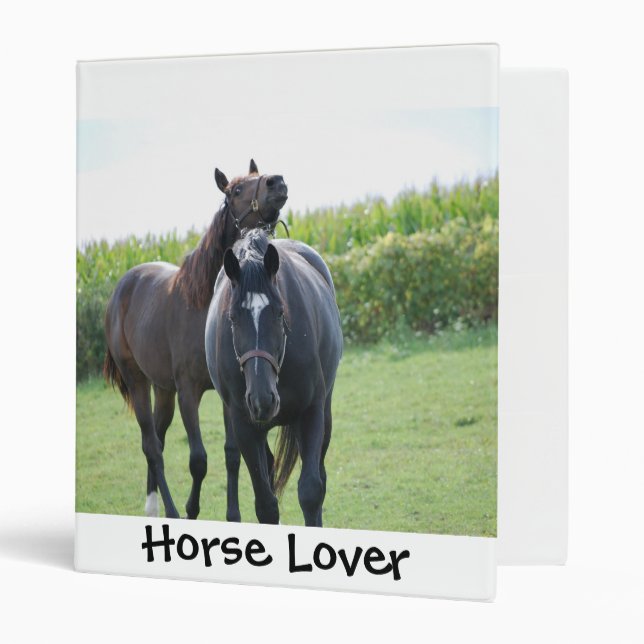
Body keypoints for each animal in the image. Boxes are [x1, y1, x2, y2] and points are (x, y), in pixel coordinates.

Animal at [103, 160, 288, 519]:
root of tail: (123, 286)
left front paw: (233, 516)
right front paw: (191, 510)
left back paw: (153, 506)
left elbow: (231, 454)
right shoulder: (189, 393)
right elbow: (198, 460)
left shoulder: (230, 395)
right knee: (152, 446)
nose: (278, 182)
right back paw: (169, 511)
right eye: (235, 190)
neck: (202, 304)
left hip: (163, 390)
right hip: (137, 381)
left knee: (157, 440)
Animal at [205, 229, 343, 526]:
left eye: (280, 313)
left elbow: (311, 491)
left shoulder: (311, 411)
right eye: (232, 317)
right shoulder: (244, 425)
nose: (262, 399)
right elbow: (266, 505)